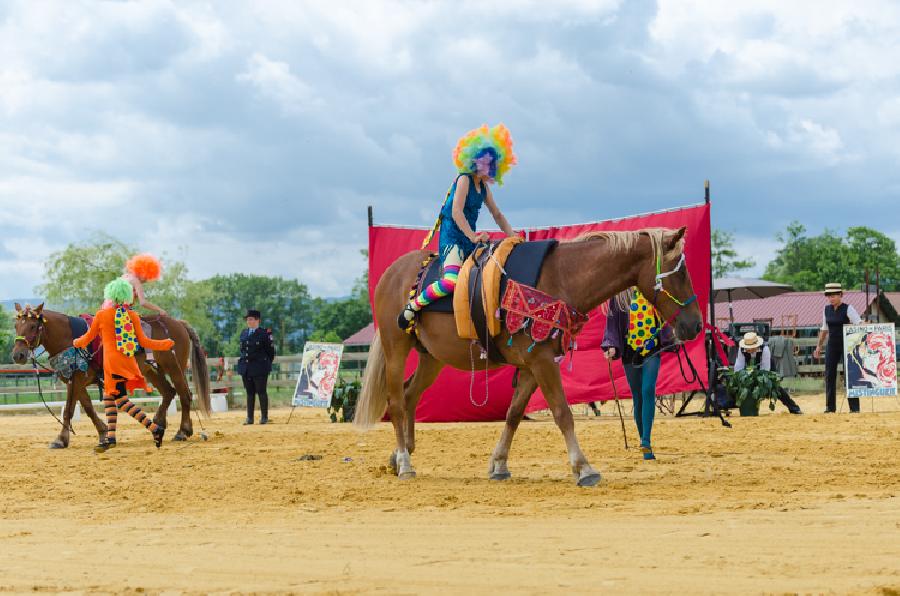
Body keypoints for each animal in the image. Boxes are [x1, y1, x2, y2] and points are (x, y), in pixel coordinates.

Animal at [10, 302, 210, 448]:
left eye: (33, 326)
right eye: (16, 325)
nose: (18, 355)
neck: (70, 338)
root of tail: (179, 323)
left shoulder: (76, 380)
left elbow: (68, 410)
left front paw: (61, 439)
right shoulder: (77, 381)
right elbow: (88, 408)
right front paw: (103, 432)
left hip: (174, 367)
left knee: (184, 395)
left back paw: (182, 431)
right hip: (152, 370)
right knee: (169, 392)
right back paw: (159, 424)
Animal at [352, 227, 704, 484]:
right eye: (681, 273)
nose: (696, 324)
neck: (561, 278)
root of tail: (391, 274)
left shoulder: (532, 365)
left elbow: (514, 414)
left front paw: (499, 464)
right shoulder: (542, 363)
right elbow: (563, 413)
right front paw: (583, 467)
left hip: (432, 357)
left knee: (410, 396)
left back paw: (401, 454)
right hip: (396, 347)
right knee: (397, 402)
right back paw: (405, 462)